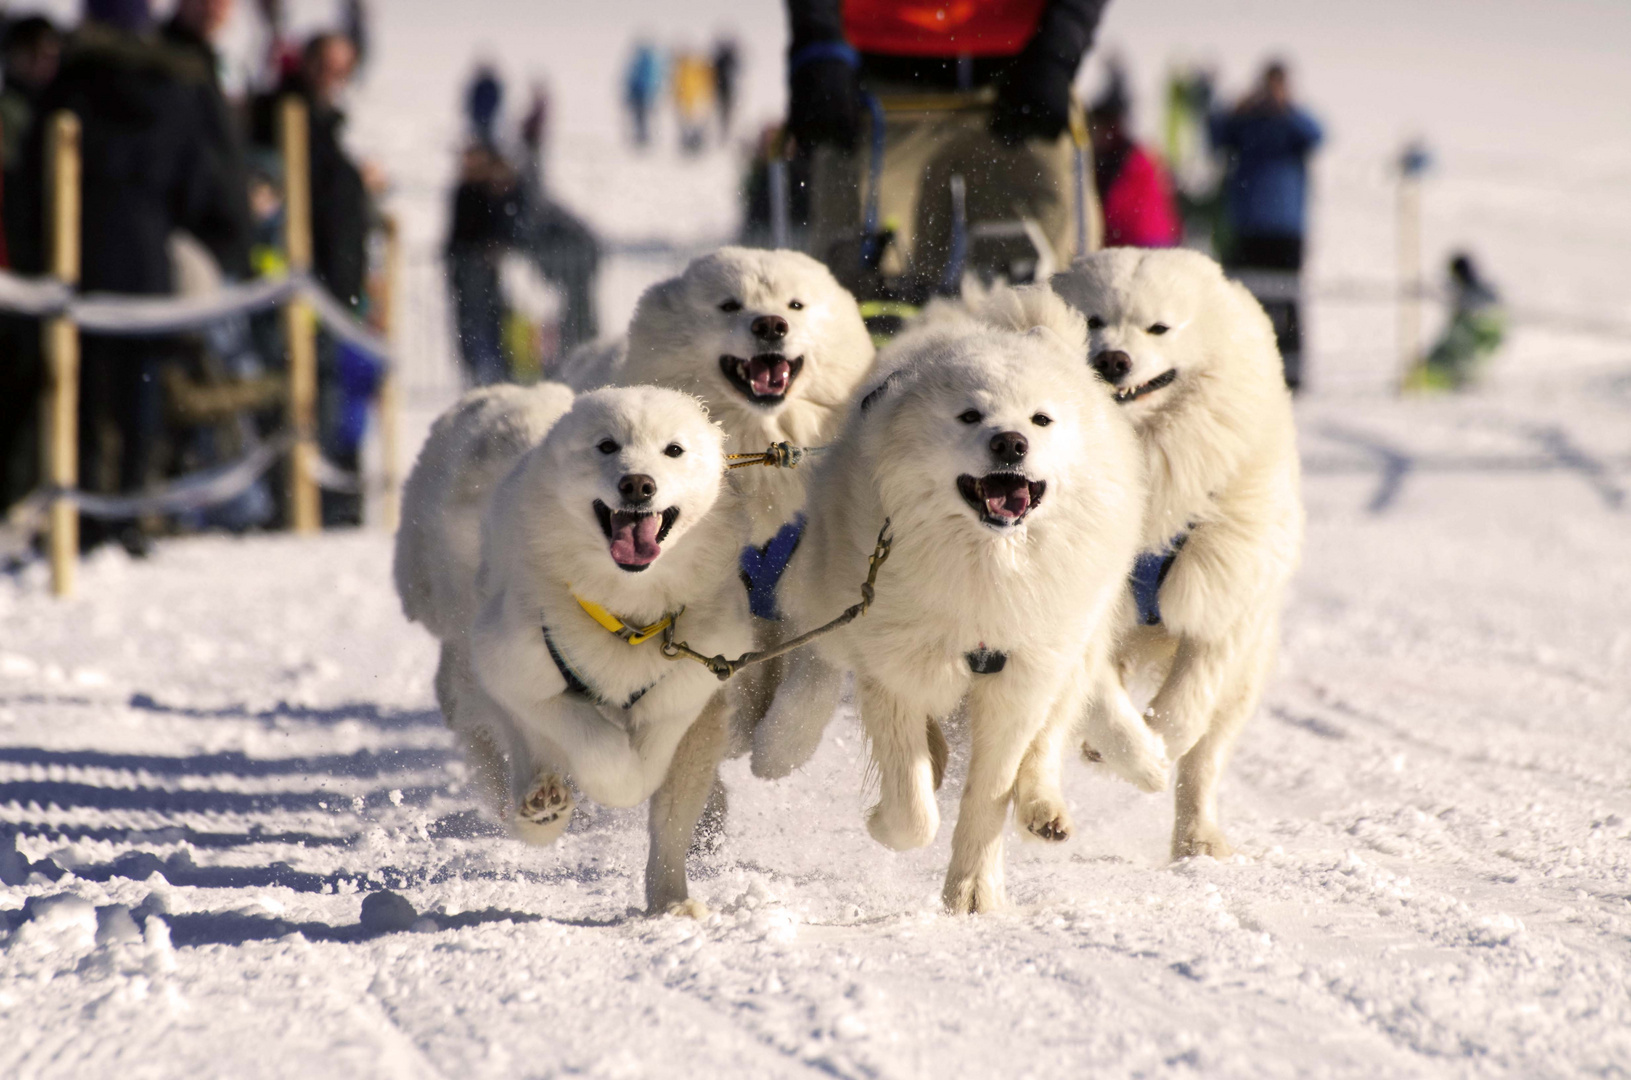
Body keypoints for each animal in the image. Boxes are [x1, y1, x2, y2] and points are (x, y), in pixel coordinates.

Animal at [397, 380, 753, 913]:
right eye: (606, 446)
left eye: (673, 450)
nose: (638, 485)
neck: (626, 616)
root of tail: (515, 392)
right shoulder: (516, 670)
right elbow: (598, 750)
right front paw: (600, 780)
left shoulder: (694, 685)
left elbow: (667, 795)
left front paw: (670, 903)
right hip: (467, 638)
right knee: (492, 725)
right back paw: (536, 804)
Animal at [750, 314, 1148, 913]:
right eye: (970, 416)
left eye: (1042, 419)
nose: (1011, 442)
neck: (986, 565)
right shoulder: (894, 668)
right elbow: (913, 808)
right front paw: (885, 822)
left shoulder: (1020, 678)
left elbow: (991, 793)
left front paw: (974, 892)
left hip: (1071, 647)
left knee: (1050, 736)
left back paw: (1044, 811)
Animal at [1050, 247, 1304, 861]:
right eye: (1092, 320)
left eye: (1159, 328)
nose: (1113, 360)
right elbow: (1102, 701)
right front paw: (1129, 752)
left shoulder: (1221, 597)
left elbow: (1185, 711)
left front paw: (1148, 747)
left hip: (1246, 674)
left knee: (1205, 759)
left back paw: (1199, 839)